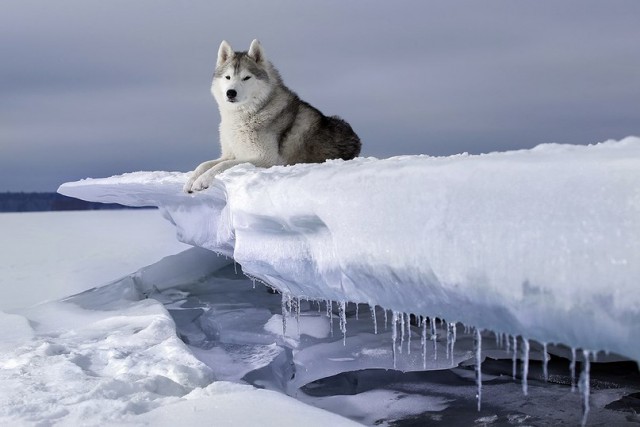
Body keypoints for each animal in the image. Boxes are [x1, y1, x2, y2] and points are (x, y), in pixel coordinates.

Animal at [184, 39, 360, 193]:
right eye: (227, 77)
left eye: (246, 77)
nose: (231, 93)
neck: (246, 115)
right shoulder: (230, 154)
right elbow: (204, 164)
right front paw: (190, 181)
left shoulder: (264, 159)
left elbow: (221, 166)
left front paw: (201, 181)